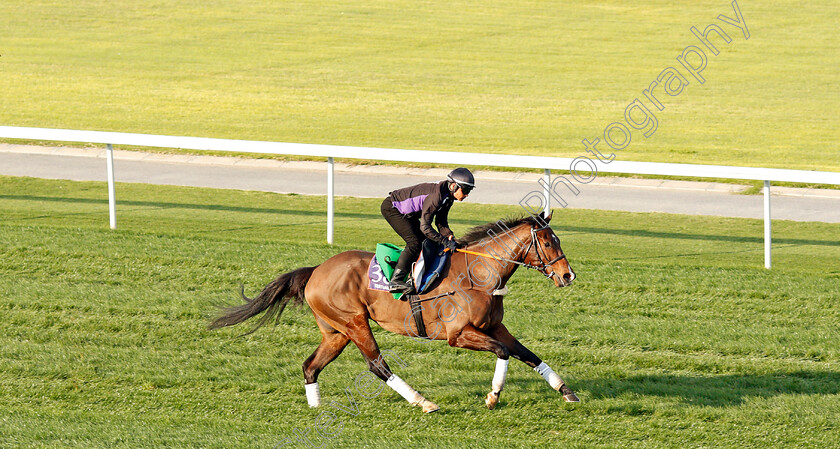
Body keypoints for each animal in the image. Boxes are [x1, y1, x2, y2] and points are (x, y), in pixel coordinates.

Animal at [210, 212, 576, 412]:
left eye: (558, 240)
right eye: (547, 242)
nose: (568, 275)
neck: (479, 273)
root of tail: (315, 270)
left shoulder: (495, 327)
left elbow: (526, 353)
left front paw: (566, 390)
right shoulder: (458, 335)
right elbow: (503, 352)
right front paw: (493, 396)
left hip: (336, 332)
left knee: (310, 366)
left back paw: (316, 408)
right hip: (355, 323)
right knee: (376, 365)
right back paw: (422, 401)